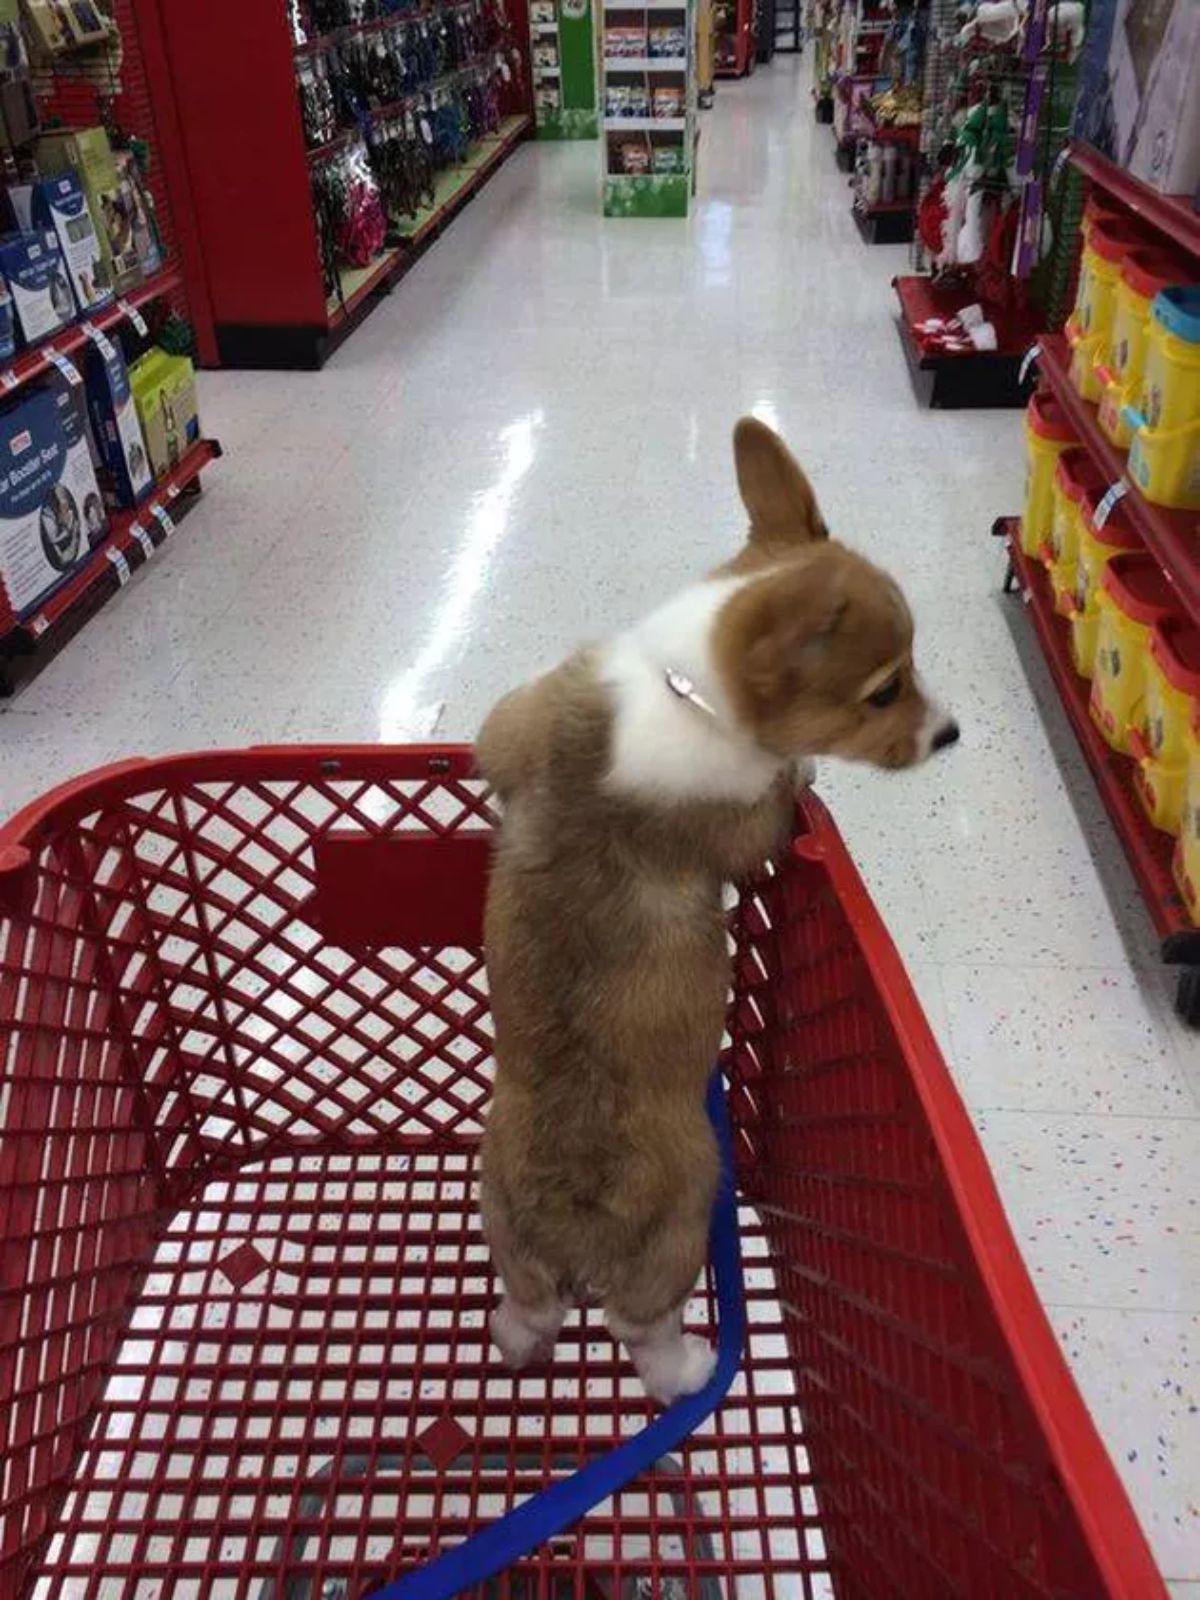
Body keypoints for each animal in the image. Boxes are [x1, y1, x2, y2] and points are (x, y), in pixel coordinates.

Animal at [480, 422, 960, 1401]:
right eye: (885, 691)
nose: (951, 736)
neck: (682, 682)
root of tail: (568, 1223)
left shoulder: (509, 726)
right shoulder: (741, 823)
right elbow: (771, 803)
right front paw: (802, 774)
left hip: (500, 1216)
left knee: (527, 1309)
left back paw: (519, 1339)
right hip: (684, 1219)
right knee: (641, 1328)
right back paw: (691, 1368)